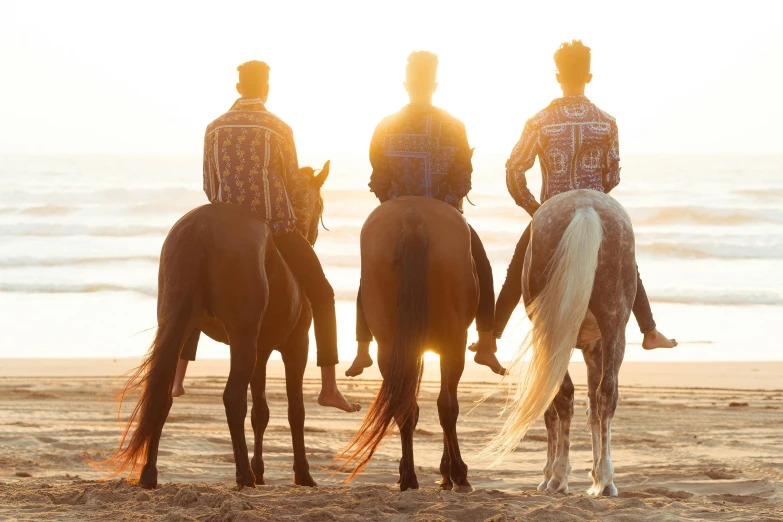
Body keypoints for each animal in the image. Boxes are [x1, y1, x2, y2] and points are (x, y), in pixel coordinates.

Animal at [96, 160, 332, 486]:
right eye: (320, 205)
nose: (310, 235)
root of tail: (202, 226)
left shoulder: (261, 351)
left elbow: (261, 412)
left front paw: (262, 470)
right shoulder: (296, 345)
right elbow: (295, 410)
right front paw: (302, 473)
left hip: (182, 329)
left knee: (162, 396)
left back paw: (150, 473)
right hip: (243, 338)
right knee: (233, 398)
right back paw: (243, 474)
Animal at [334, 197, 474, 490]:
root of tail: (412, 214)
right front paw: (448, 472)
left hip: (389, 344)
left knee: (404, 406)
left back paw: (408, 476)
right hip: (453, 339)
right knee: (447, 405)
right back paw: (458, 474)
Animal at [486, 189, 640, 494]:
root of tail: (585, 207)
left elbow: (552, 408)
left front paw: (550, 474)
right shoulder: (595, 347)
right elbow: (594, 408)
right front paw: (594, 474)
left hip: (553, 332)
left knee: (563, 394)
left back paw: (558, 476)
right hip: (614, 321)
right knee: (607, 392)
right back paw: (605, 479)